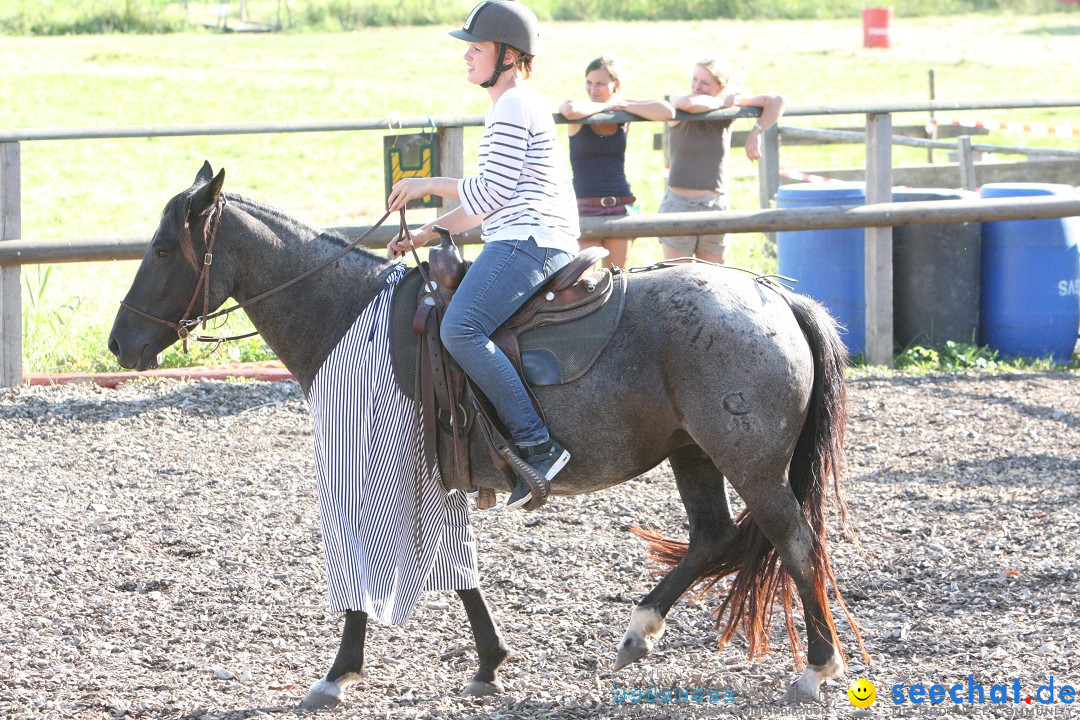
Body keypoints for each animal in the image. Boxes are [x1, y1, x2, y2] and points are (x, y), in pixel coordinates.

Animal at [109, 162, 864, 708]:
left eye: (160, 248)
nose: (119, 343)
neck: (350, 317)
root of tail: (775, 296)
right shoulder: (438, 478)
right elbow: (462, 575)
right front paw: (490, 664)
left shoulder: (374, 470)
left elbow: (365, 574)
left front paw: (338, 674)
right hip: (692, 454)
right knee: (713, 537)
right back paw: (637, 631)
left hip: (751, 465)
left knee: (795, 543)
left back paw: (816, 668)